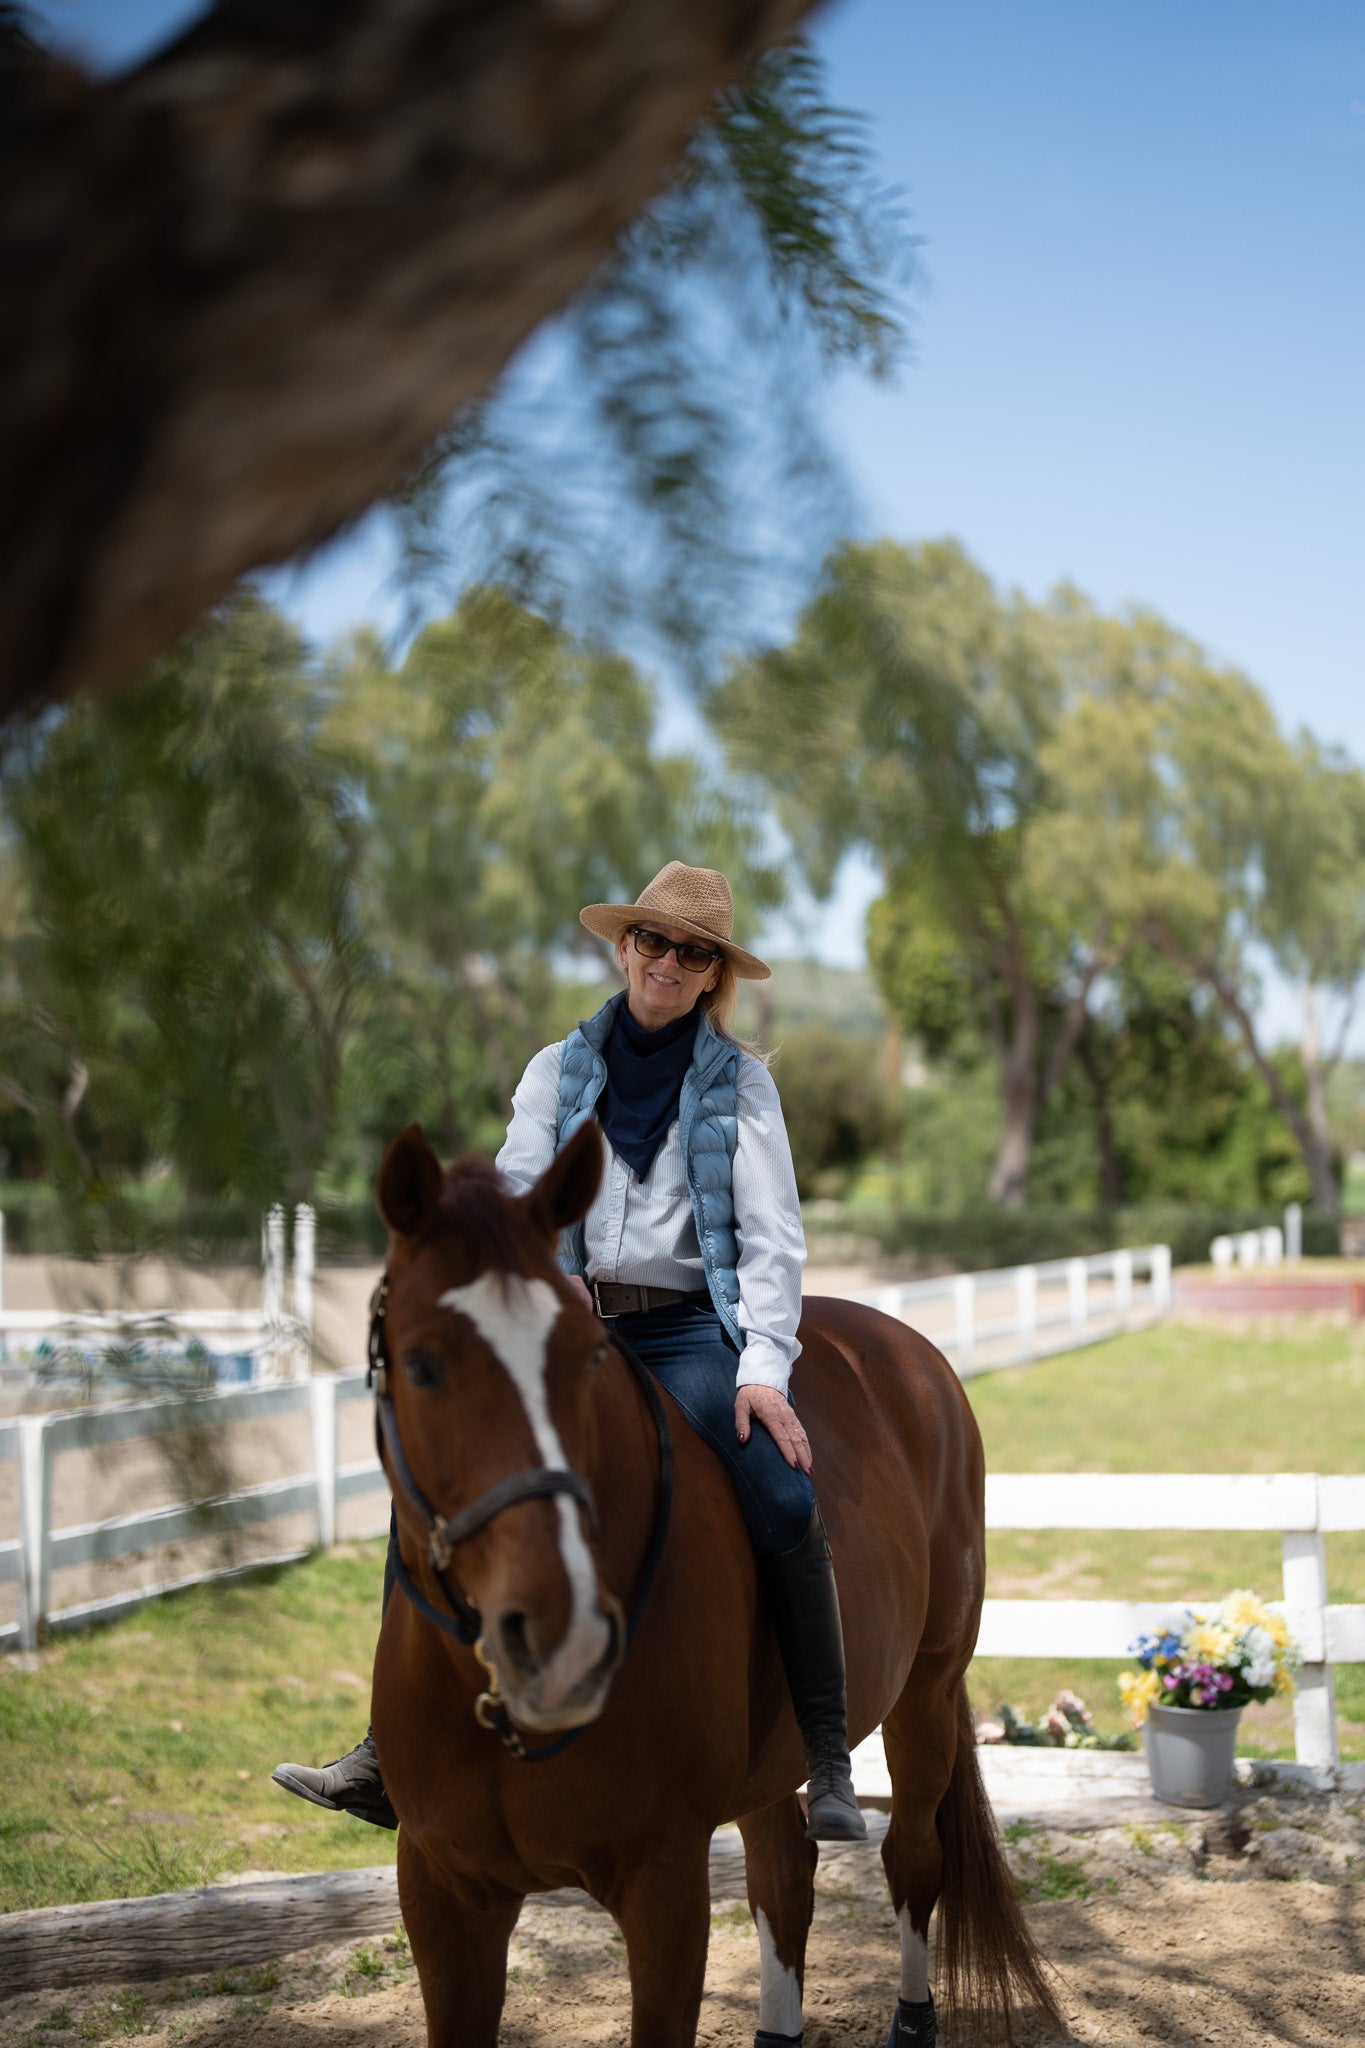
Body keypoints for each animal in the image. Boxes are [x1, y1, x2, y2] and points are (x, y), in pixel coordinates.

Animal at [368, 1122, 1064, 2048]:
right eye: (420, 1366)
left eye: (585, 1357)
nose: (563, 1639)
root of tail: (910, 1355)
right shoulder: (442, 1891)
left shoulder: (662, 1883)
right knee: (784, 1876)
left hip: (924, 1690)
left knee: (911, 1855)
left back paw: (913, 2019)